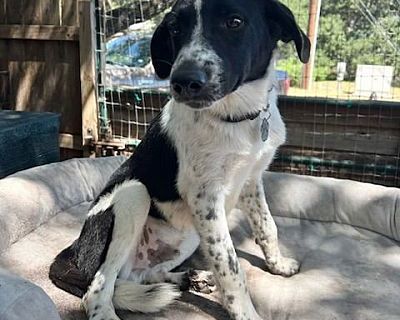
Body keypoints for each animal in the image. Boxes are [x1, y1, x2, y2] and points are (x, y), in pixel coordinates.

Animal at [50, 1, 310, 318]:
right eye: (174, 28)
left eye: (235, 22)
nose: (183, 82)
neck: (235, 117)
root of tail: (73, 251)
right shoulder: (205, 198)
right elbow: (230, 265)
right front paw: (246, 313)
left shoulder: (250, 179)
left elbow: (267, 226)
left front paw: (279, 264)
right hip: (133, 195)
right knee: (98, 288)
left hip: (188, 236)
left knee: (139, 276)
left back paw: (189, 278)